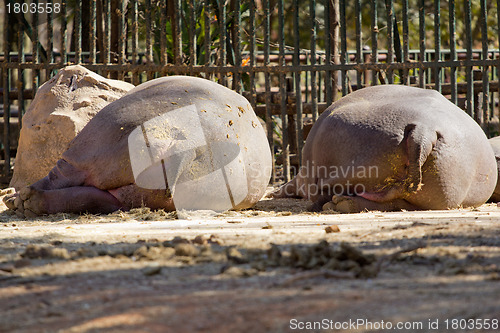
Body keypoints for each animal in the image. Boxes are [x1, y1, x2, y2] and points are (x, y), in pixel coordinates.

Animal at [3, 75, 272, 217]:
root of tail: (191, 142)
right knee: (97, 198)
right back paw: (20, 201)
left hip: (91, 144)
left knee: (60, 178)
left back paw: (16, 201)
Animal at [274, 84, 496, 211]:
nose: (275, 191)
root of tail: (425, 130)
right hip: (438, 194)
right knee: (394, 201)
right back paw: (341, 204)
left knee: (322, 190)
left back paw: (330, 204)